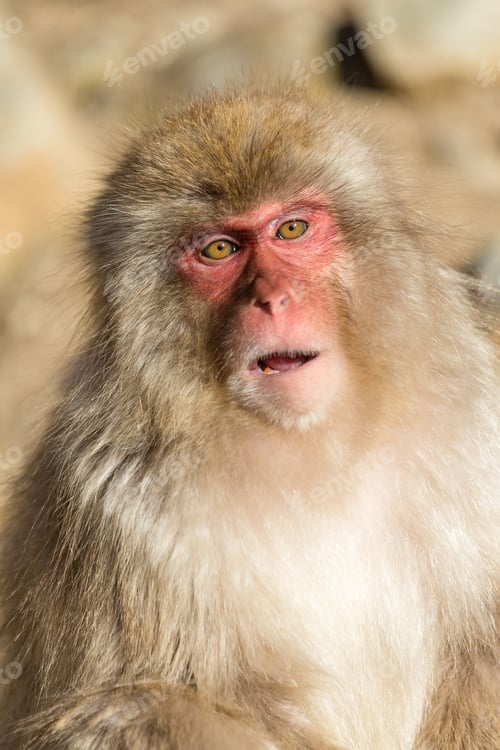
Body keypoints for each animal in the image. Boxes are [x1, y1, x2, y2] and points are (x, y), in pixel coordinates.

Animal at [0, 86, 498, 750]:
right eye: (219, 250)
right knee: (141, 711)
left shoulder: (475, 413)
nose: (272, 299)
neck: (317, 445)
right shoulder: (116, 500)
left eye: (291, 229)